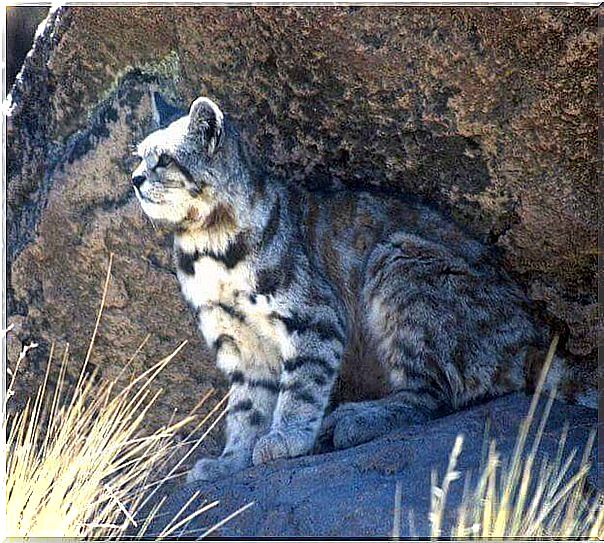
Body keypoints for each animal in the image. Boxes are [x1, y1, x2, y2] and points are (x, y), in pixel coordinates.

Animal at [133, 94, 596, 484]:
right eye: (138, 156)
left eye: (164, 160)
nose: (134, 178)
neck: (204, 243)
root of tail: (533, 333)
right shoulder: (237, 339)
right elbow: (246, 407)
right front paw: (231, 460)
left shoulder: (315, 316)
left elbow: (300, 387)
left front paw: (286, 438)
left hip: (397, 258)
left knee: (437, 395)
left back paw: (356, 418)